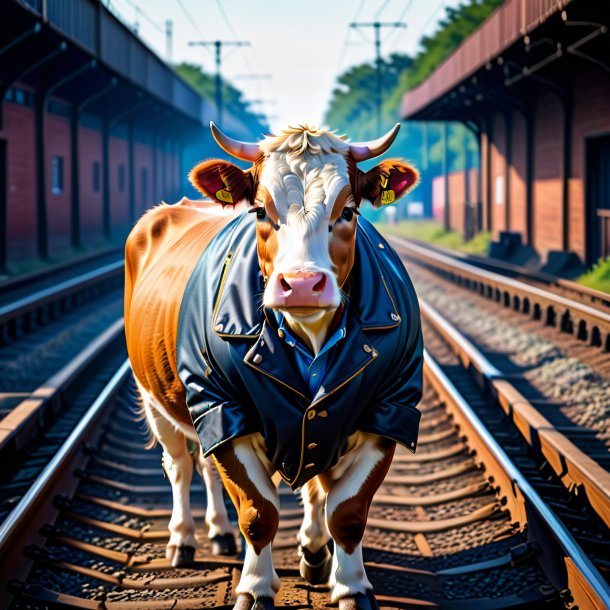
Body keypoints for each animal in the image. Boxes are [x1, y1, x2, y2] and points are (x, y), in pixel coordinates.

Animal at [124, 120, 422, 608]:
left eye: (349, 211)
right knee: (182, 465)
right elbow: (258, 512)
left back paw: (232, 535)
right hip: (157, 396)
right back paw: (183, 539)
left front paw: (346, 581)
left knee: (215, 467)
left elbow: (346, 510)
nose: (301, 284)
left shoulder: (387, 411)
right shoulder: (224, 408)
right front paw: (256, 587)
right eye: (262, 211)